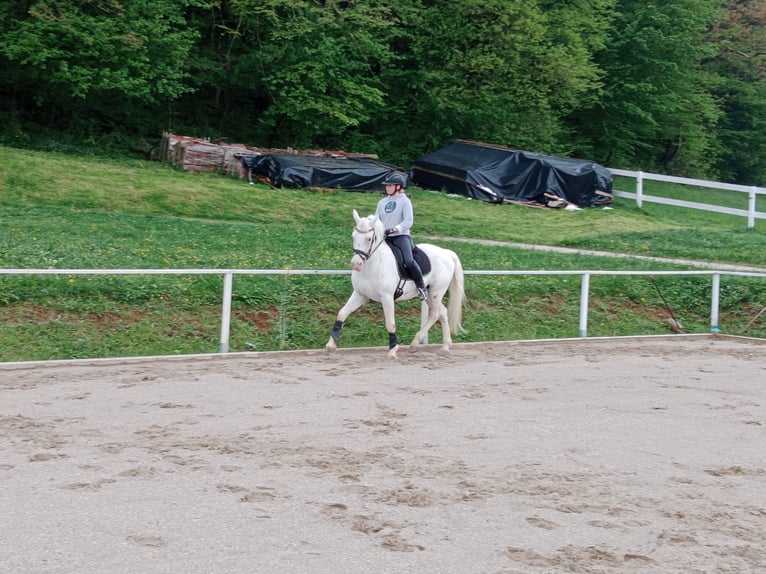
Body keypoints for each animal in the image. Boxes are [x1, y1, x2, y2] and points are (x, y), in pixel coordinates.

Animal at [326, 209, 468, 358]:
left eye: (369, 239)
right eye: (353, 237)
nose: (356, 264)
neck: (373, 265)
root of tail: (447, 253)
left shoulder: (387, 297)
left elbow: (390, 323)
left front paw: (393, 350)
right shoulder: (360, 295)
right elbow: (342, 313)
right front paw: (331, 345)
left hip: (436, 292)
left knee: (435, 314)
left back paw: (415, 343)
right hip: (430, 294)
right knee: (443, 312)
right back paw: (445, 346)